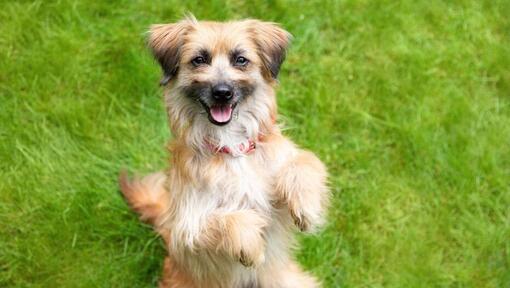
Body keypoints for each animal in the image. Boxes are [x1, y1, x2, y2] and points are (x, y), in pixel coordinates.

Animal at [121, 16, 332, 288]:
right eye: (199, 59)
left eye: (240, 59)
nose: (222, 92)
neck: (232, 148)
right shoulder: (186, 227)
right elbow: (227, 219)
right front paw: (251, 246)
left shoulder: (279, 192)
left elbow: (305, 162)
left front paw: (306, 207)